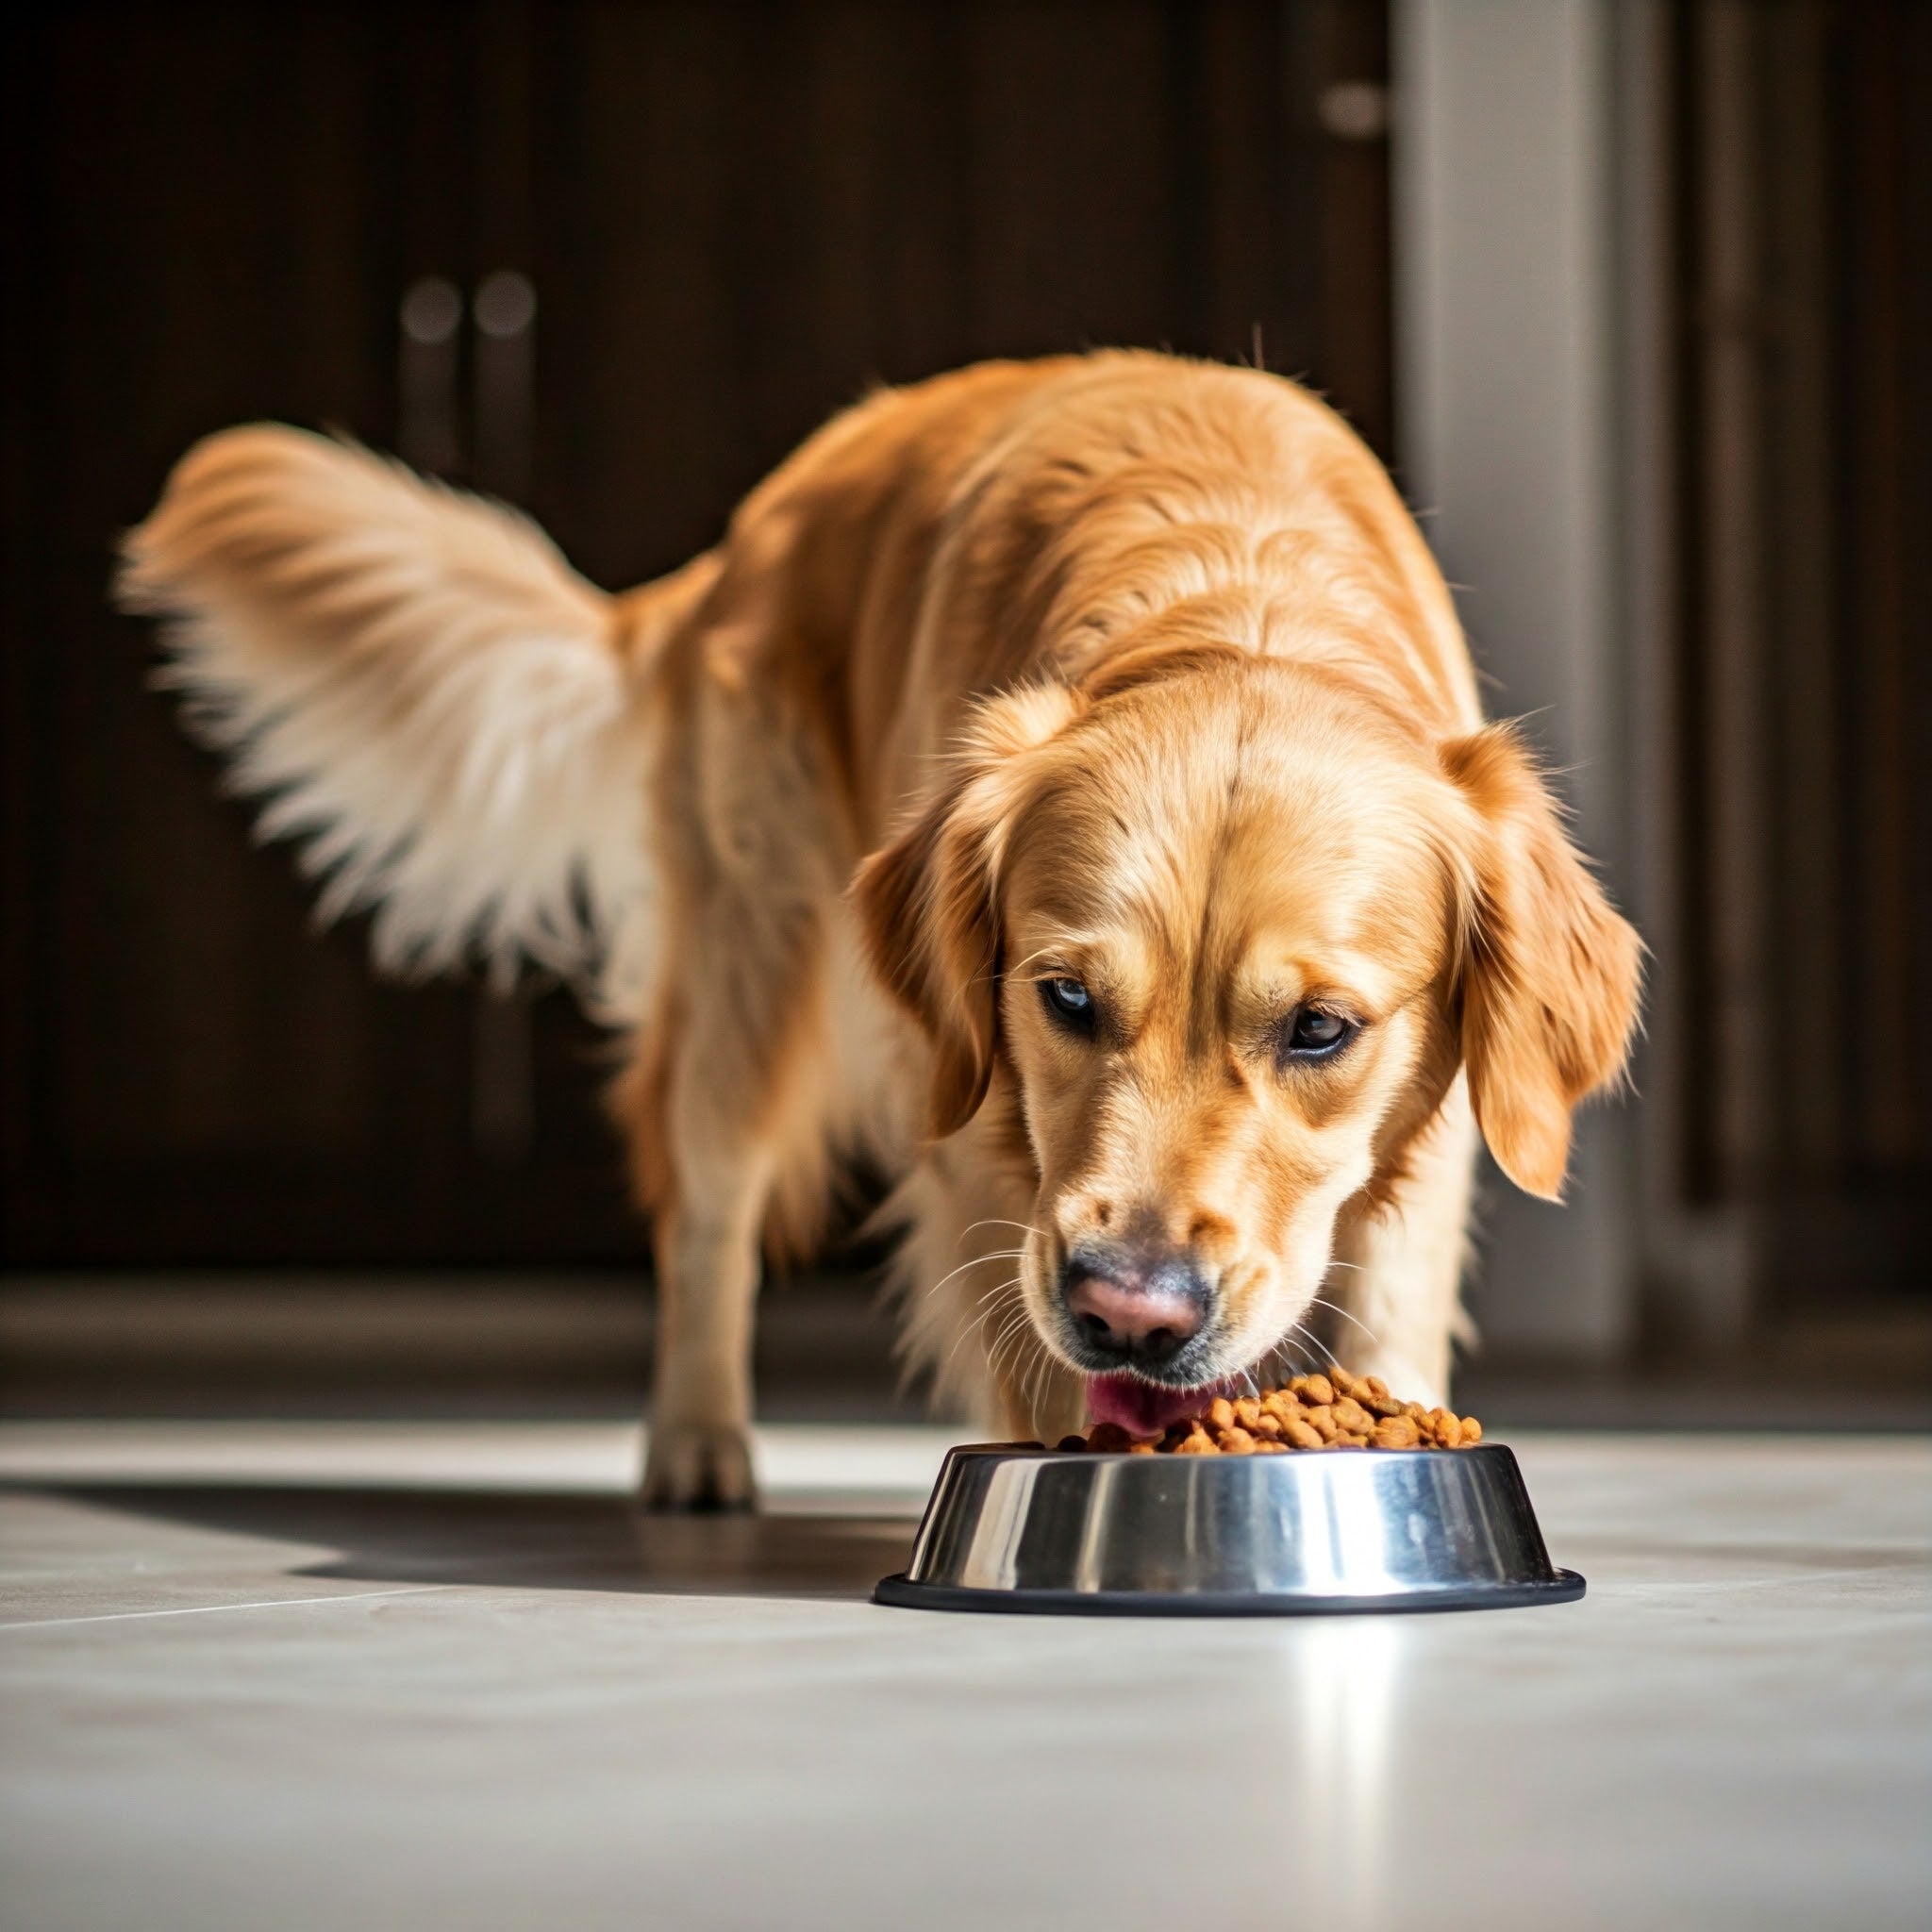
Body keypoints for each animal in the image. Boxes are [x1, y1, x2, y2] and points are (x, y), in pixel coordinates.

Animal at [121, 351, 1638, 1507]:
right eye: (1065, 998)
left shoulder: (1425, 1141)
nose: (1131, 1313)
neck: (1239, 604)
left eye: (1322, 1029)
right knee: (705, 1212)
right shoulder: (978, 1134)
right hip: (749, 967)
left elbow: (1385, 1301)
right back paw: (695, 1451)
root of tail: (743, 537)